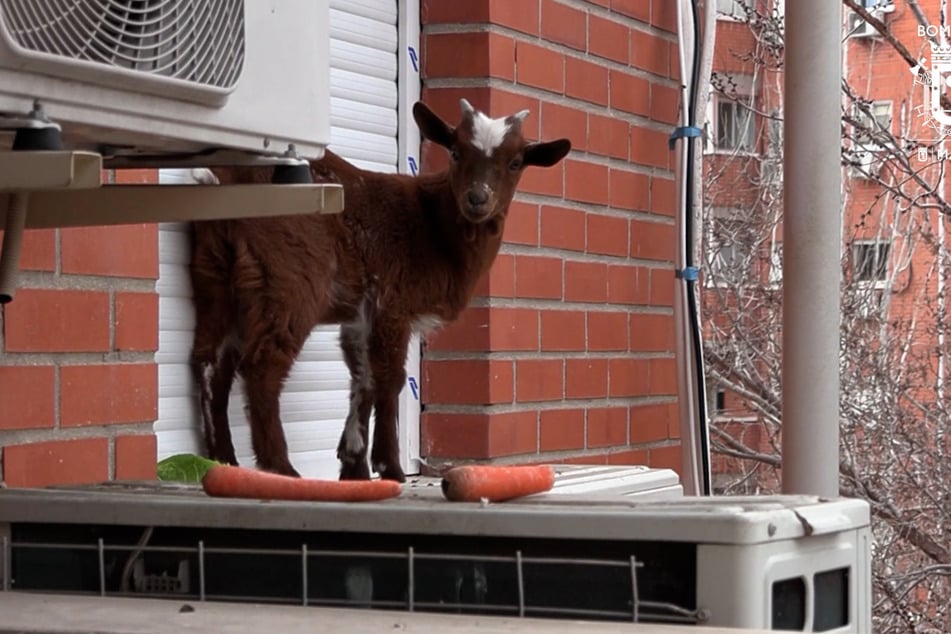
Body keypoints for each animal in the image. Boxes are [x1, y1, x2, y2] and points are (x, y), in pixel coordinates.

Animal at [190, 99, 568, 478]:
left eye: (516, 162)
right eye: (456, 151)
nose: (477, 198)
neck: (433, 226)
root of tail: (227, 180)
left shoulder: (362, 314)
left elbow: (363, 377)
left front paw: (354, 465)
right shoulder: (392, 303)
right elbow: (390, 378)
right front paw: (389, 467)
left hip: (215, 273)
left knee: (209, 360)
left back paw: (222, 459)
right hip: (291, 277)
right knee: (263, 363)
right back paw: (280, 467)